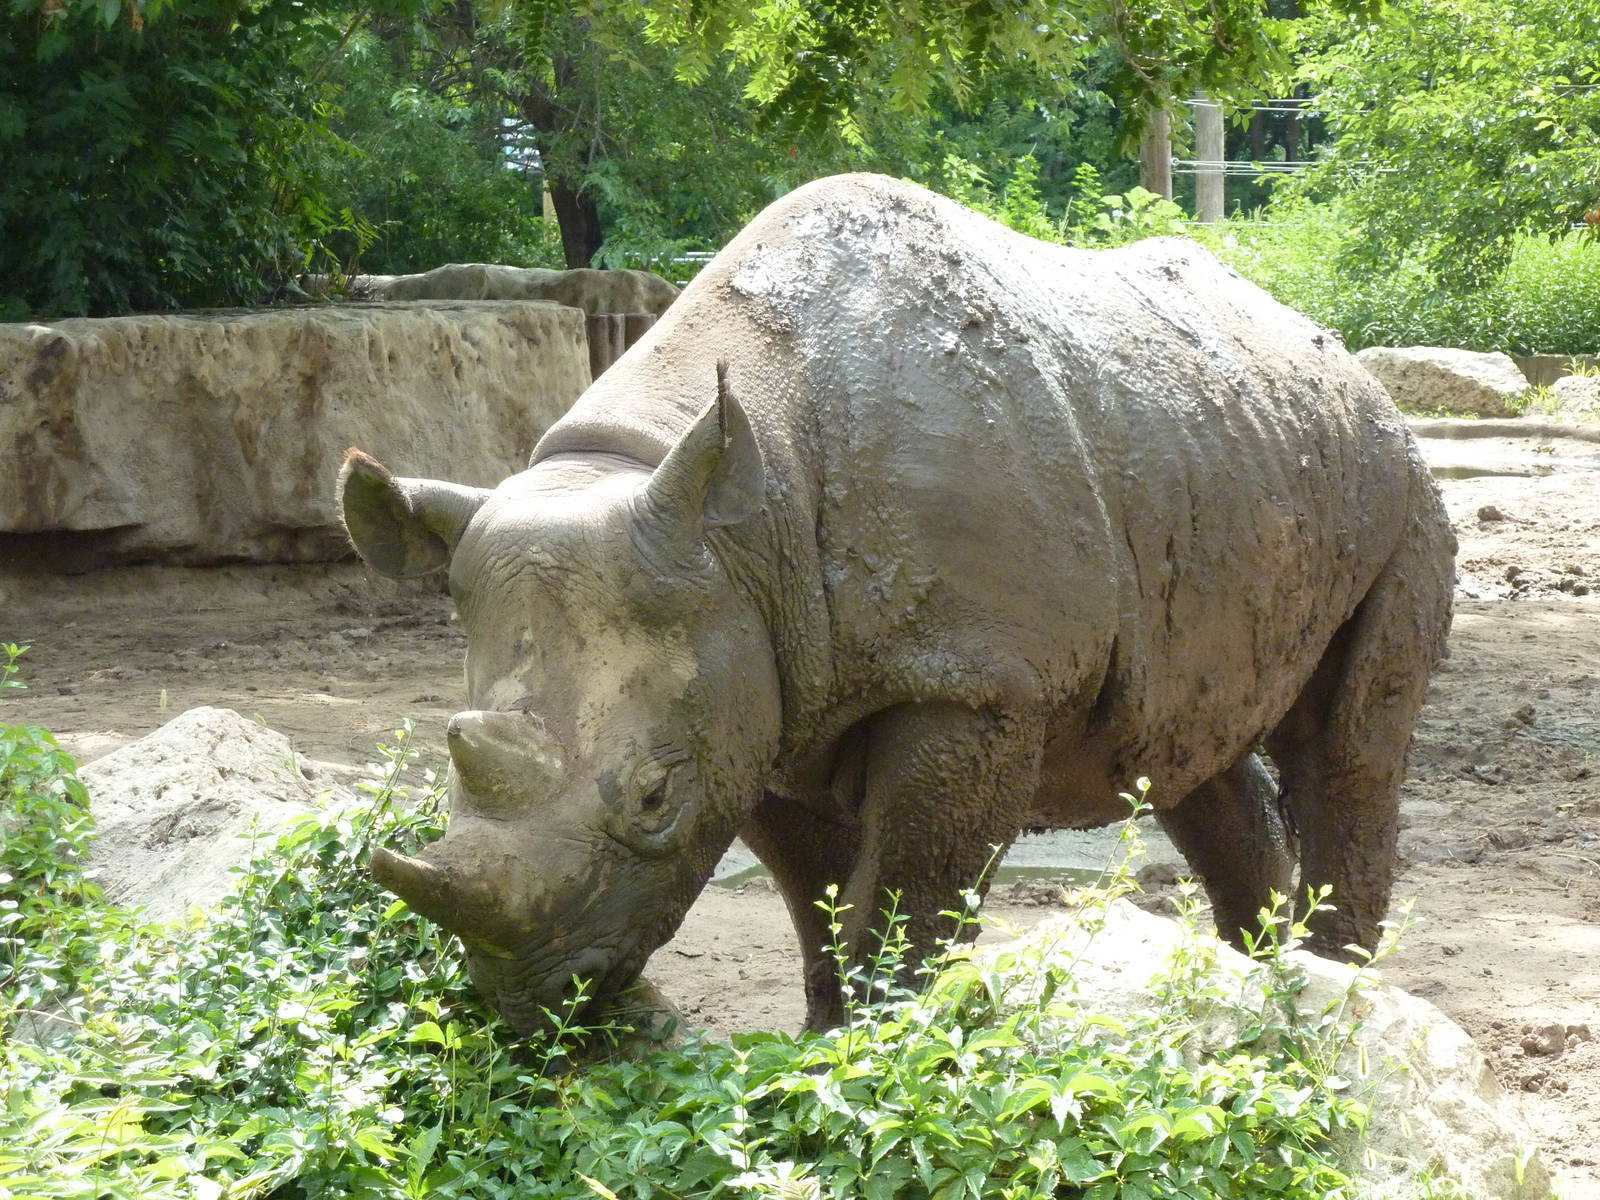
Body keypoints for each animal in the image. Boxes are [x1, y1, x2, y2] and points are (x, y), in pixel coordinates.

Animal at [338, 174, 1454, 1034]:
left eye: (656, 798)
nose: (530, 1004)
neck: (739, 523)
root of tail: (1339, 357)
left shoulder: (977, 682)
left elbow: (911, 895)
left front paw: (885, 1053)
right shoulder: (760, 681)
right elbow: (817, 900)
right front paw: (822, 1043)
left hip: (1397, 479)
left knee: (1347, 745)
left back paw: (1340, 1009)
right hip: (1225, 447)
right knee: (1188, 750)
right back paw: (1260, 989)